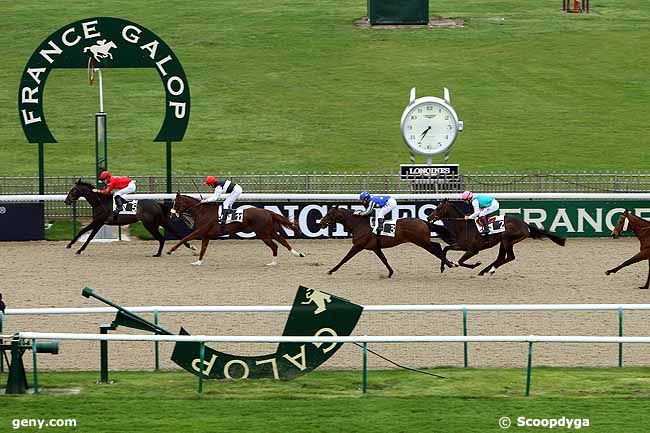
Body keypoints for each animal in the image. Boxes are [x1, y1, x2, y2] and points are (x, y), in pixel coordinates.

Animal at [64, 180, 194, 255]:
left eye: (73, 190)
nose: (66, 201)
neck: (100, 202)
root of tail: (157, 204)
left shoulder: (98, 221)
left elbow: (85, 233)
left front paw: (74, 247)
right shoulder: (99, 222)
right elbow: (87, 234)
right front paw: (75, 247)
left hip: (150, 224)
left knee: (161, 238)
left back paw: (157, 254)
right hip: (161, 221)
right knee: (175, 232)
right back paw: (190, 247)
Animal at [166, 194, 306, 264]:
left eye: (176, 203)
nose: (171, 215)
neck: (202, 211)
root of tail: (267, 211)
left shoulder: (200, 231)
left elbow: (184, 238)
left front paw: (171, 250)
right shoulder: (206, 235)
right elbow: (203, 249)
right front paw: (198, 262)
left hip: (263, 233)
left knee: (275, 245)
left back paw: (273, 262)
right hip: (269, 231)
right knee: (283, 241)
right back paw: (297, 254)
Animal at [316, 206, 454, 276]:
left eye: (329, 214)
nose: (320, 223)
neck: (359, 224)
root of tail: (423, 221)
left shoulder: (358, 246)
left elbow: (345, 258)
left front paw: (331, 270)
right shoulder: (375, 247)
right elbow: (384, 259)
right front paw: (390, 272)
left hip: (421, 242)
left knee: (436, 250)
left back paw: (449, 264)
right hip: (423, 241)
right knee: (437, 245)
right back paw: (445, 265)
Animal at [426, 198, 560, 276]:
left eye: (438, 208)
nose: (428, 217)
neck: (464, 226)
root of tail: (525, 225)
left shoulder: (473, 250)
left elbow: (460, 261)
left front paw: (474, 264)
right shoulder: (461, 245)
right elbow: (445, 249)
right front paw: (443, 267)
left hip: (507, 239)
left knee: (510, 257)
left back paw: (489, 269)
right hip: (503, 242)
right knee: (501, 257)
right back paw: (485, 270)